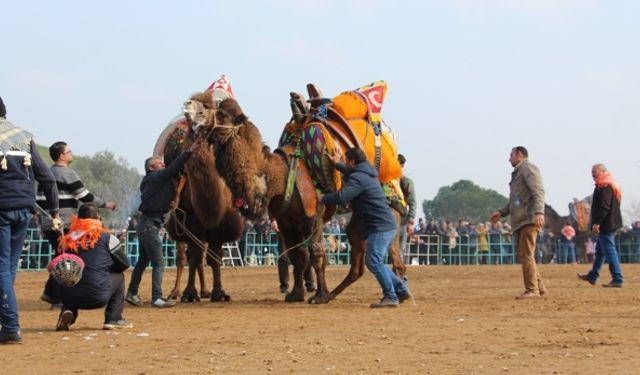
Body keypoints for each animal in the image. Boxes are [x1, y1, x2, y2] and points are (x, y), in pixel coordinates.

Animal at [185, 86, 404, 304]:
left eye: (222, 113)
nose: (195, 115)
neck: (278, 179)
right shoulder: (286, 222)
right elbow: (298, 256)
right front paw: (296, 294)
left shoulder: (313, 214)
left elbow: (316, 253)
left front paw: (319, 296)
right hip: (359, 219)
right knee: (358, 263)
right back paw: (343, 294)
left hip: (389, 212)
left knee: (392, 255)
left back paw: (394, 295)